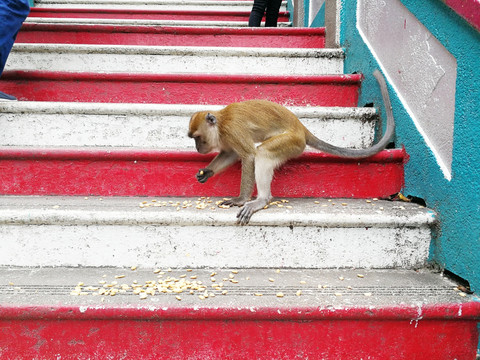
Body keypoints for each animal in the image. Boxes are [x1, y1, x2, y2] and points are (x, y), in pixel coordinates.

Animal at [188, 69, 394, 224]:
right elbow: (230, 153)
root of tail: (301, 128)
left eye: (197, 138)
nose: (197, 148)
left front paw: (240, 199)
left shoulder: (232, 130)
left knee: (263, 152)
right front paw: (207, 172)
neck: (221, 123)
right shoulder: (227, 137)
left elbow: (248, 156)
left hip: (292, 142)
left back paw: (261, 199)